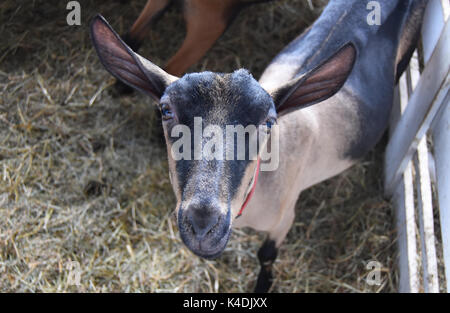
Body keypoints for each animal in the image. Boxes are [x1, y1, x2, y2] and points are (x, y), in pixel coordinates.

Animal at [90, 0, 426, 292]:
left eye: (268, 122)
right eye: (165, 110)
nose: (202, 225)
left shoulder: (285, 216)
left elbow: (266, 256)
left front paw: (263, 285)